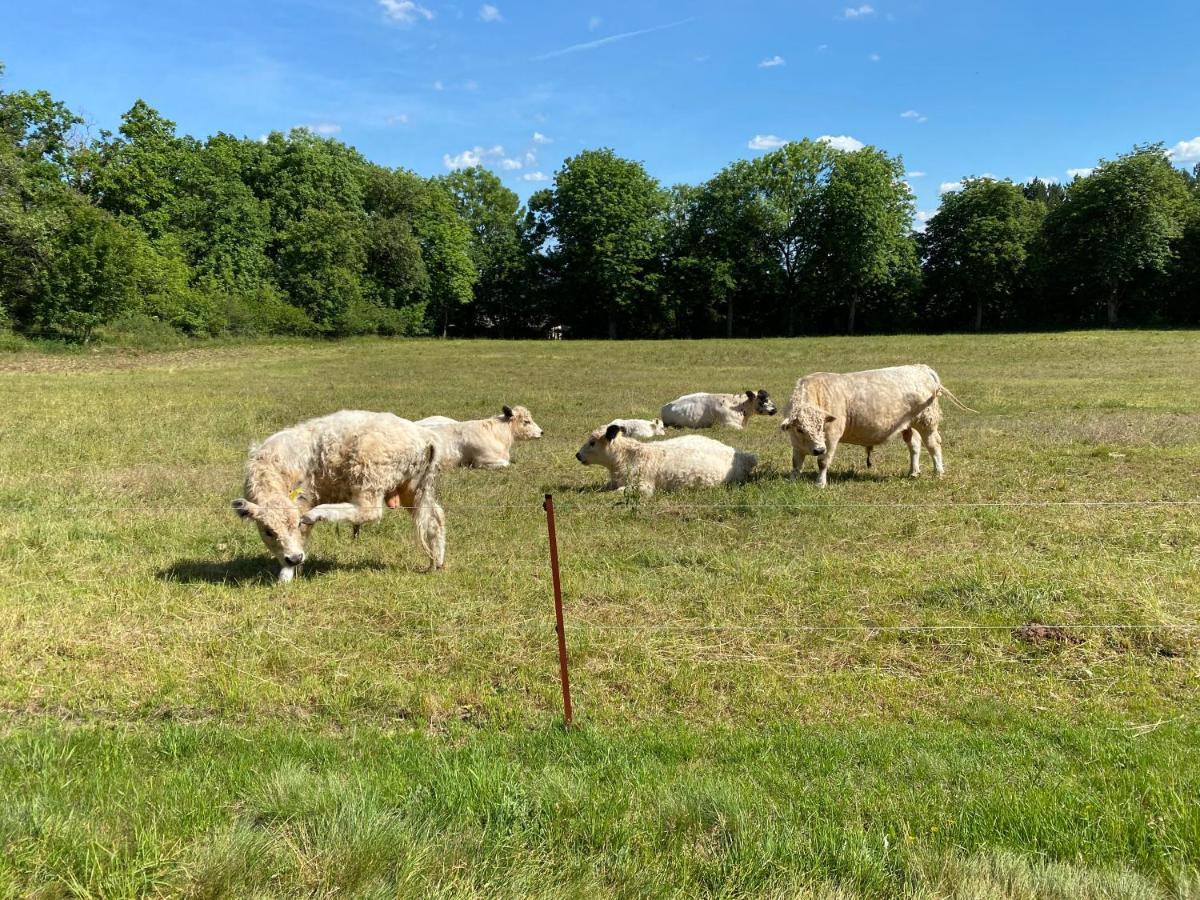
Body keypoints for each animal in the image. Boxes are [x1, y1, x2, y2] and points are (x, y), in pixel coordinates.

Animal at [230, 410, 446, 585]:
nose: (294, 558)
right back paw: (436, 563)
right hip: (411, 487)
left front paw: (288, 574)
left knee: (369, 512)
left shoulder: (305, 499)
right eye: (268, 531)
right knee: (434, 517)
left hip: (369, 474)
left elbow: (303, 535)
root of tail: (423, 434)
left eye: (297, 524)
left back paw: (318, 513)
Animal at [576, 424, 753, 496]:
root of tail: (743, 455)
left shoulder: (643, 486)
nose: (578, 455)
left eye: (592, 442)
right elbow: (605, 487)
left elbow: (617, 491)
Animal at [777, 362, 974, 487]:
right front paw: (792, 481)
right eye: (800, 429)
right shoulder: (796, 443)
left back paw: (938, 472)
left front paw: (820, 483)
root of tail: (920, 367)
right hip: (910, 424)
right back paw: (913, 471)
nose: (818, 449)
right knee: (914, 446)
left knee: (933, 445)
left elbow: (823, 462)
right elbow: (796, 462)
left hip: (927, 422)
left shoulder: (831, 436)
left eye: (821, 427)